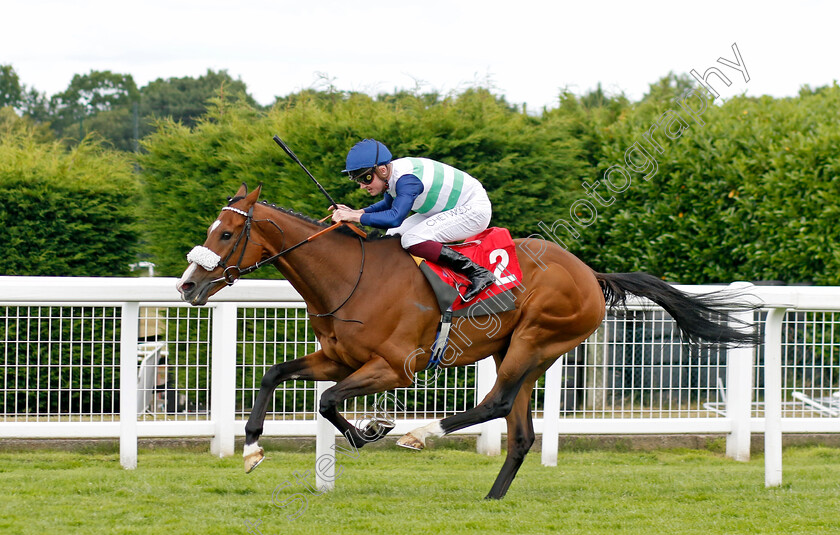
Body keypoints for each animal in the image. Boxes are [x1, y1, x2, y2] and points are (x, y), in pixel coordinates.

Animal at [174, 183, 756, 498]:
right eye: (210, 229)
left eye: (226, 233)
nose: (188, 286)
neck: (350, 276)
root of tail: (591, 274)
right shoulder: (338, 357)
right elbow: (278, 376)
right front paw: (252, 448)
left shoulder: (395, 367)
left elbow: (329, 400)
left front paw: (372, 430)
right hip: (523, 353)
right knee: (519, 432)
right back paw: (492, 497)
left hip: (534, 341)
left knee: (495, 403)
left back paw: (420, 433)